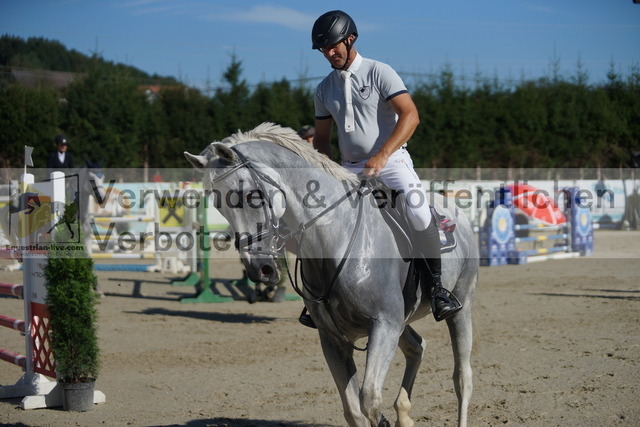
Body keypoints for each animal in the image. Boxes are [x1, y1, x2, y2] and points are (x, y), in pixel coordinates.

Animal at [185, 123, 478, 427]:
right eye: (217, 204)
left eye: (249, 195)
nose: (260, 269)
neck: (335, 237)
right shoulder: (333, 338)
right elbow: (354, 411)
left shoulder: (384, 324)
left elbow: (370, 399)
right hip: (403, 319)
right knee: (417, 347)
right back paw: (404, 413)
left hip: (460, 306)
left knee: (462, 378)